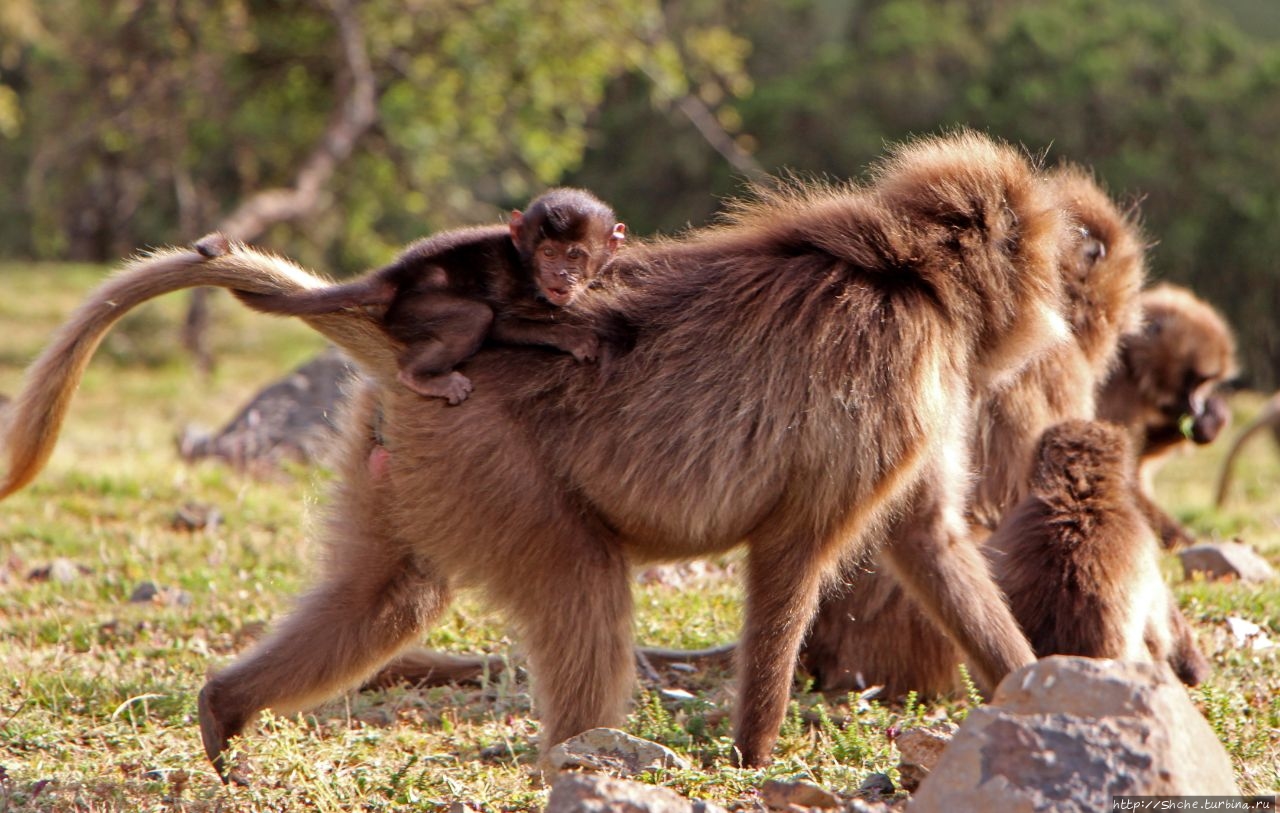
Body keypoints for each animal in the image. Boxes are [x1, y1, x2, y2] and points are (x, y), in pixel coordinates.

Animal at [212, 186, 627, 404]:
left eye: (574, 255)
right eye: (549, 253)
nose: (560, 274)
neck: (527, 268)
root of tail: (397, 273)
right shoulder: (513, 281)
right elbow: (502, 324)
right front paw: (572, 336)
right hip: (411, 310)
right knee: (475, 316)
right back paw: (419, 377)